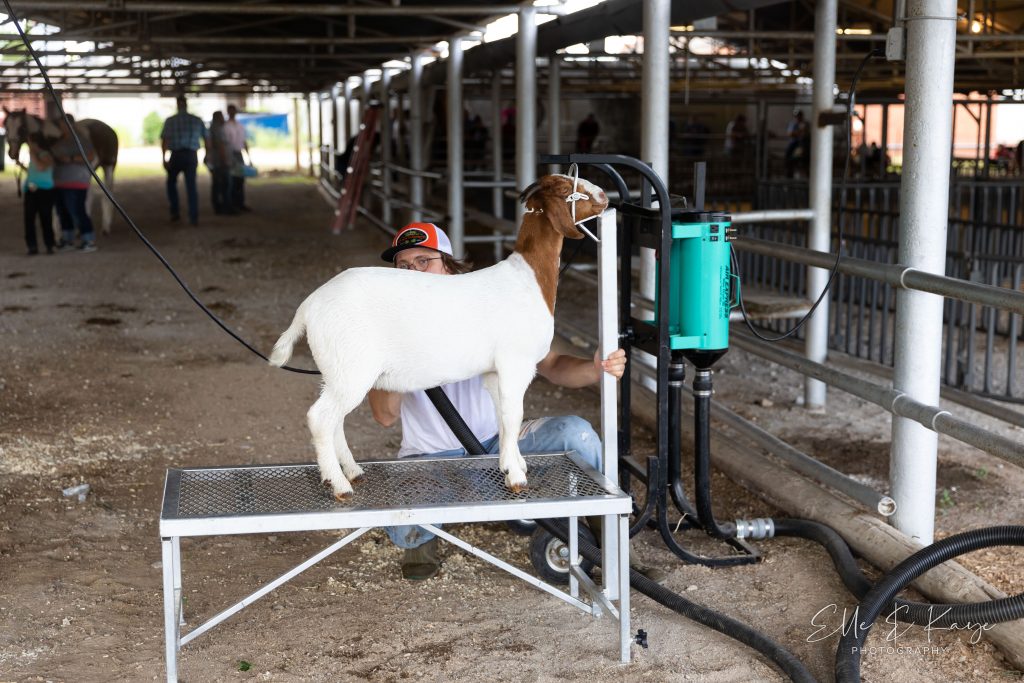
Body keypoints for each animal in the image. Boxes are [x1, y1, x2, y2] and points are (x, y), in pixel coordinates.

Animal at [269, 173, 609, 500]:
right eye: (566, 188)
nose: (605, 196)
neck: (528, 278)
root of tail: (309, 305)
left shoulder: (493, 372)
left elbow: (503, 418)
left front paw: (511, 464)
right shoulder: (516, 363)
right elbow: (514, 415)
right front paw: (516, 478)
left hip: (336, 371)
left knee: (335, 420)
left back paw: (353, 471)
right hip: (351, 368)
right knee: (320, 418)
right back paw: (339, 485)